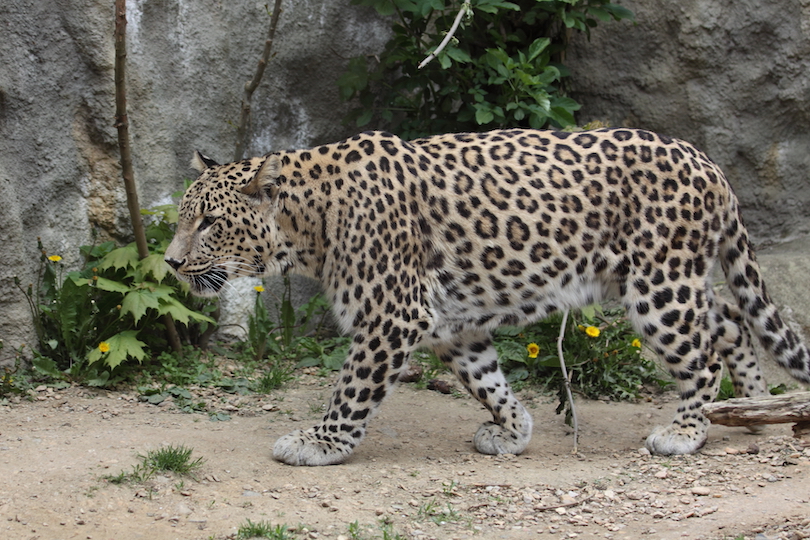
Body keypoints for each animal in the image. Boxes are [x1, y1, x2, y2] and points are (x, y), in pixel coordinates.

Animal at [164, 126, 808, 464]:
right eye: (184, 219)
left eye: (208, 223)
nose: (170, 262)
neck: (308, 228)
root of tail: (706, 159)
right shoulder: (451, 324)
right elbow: (487, 380)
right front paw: (513, 430)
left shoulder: (392, 315)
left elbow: (351, 390)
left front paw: (319, 443)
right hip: (666, 281)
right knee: (731, 320)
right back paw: (756, 409)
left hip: (659, 288)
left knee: (703, 354)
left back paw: (687, 430)